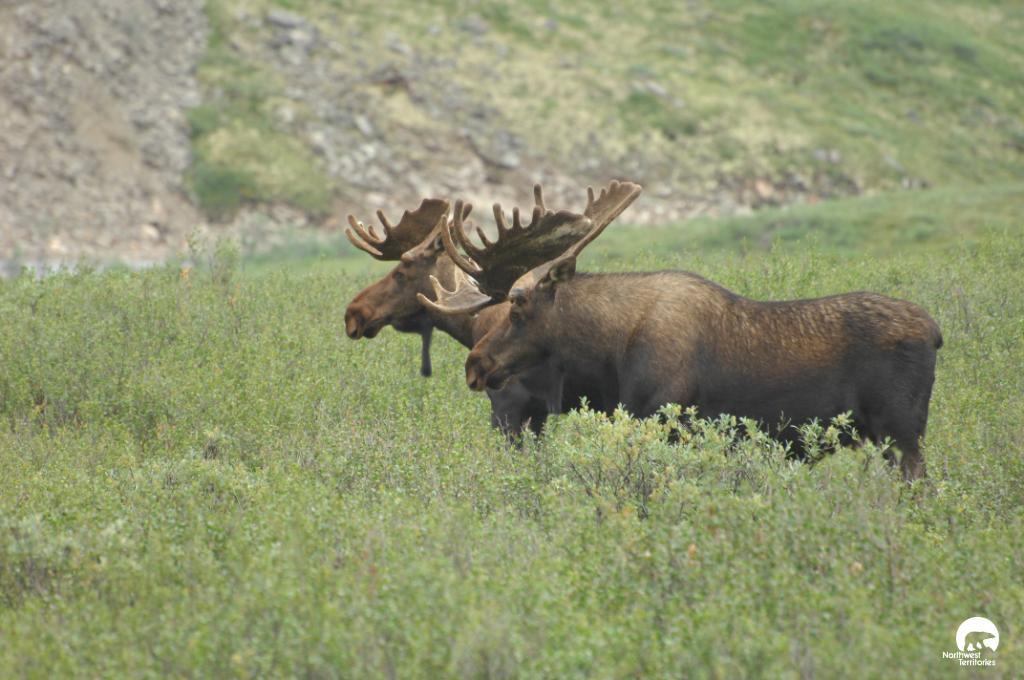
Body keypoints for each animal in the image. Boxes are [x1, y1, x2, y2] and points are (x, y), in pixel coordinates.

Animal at [427, 184, 943, 481]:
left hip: (902, 433)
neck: (610, 355)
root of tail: (937, 333)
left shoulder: (666, 420)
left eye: (517, 305)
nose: (475, 364)